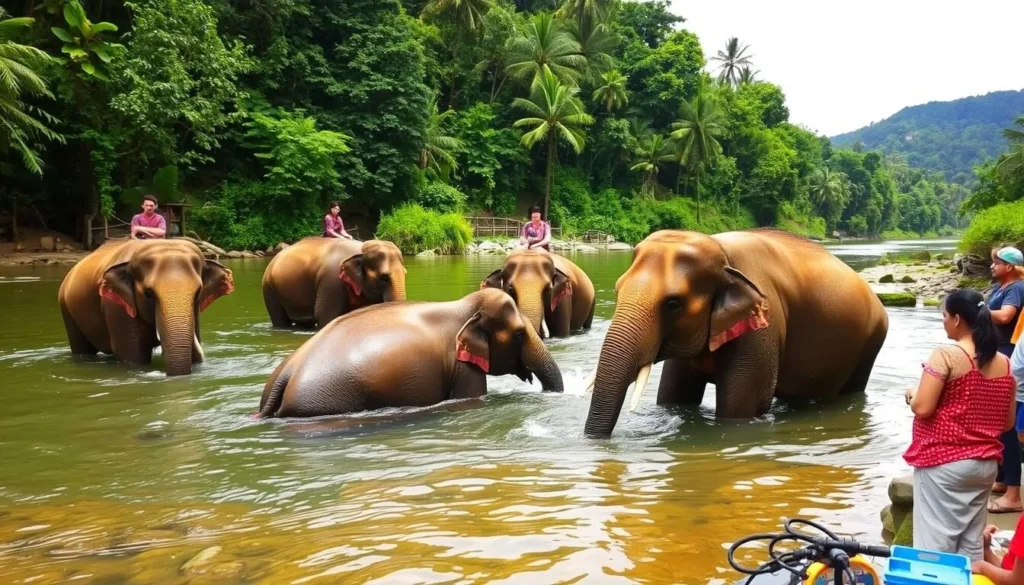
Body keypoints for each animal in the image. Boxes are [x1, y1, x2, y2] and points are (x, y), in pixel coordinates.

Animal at [262, 237, 406, 329]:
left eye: (405, 273)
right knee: (279, 320)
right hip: (269, 289)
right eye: (383, 278)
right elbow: (325, 315)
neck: (361, 248)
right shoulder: (331, 282)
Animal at [583, 229, 889, 436]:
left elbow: (739, 411)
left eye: (673, 304)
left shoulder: (762, 328)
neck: (723, 255)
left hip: (872, 342)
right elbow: (674, 398)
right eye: (618, 288)